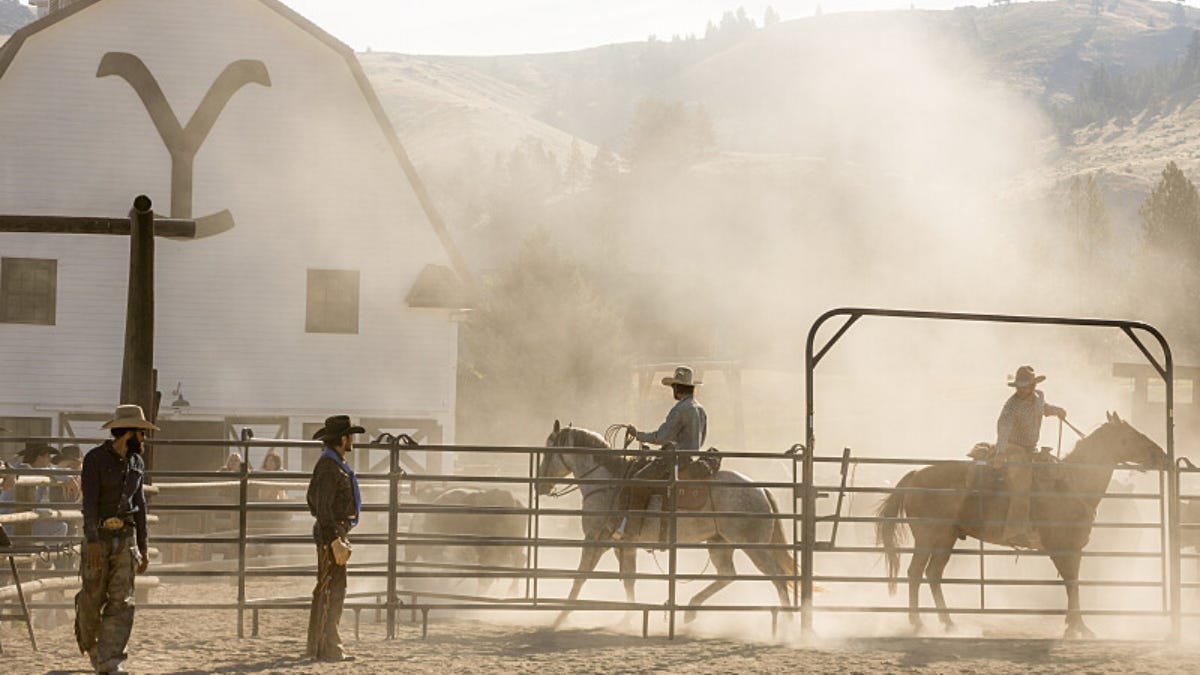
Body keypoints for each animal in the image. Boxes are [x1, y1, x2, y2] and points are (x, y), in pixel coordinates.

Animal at [540, 420, 792, 624]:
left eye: (547, 450)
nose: (541, 485)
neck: (608, 483)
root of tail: (761, 489)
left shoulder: (595, 539)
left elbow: (580, 578)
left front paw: (559, 618)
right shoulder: (623, 544)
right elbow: (628, 580)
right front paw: (628, 618)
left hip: (754, 546)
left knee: (779, 577)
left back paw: (789, 627)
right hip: (719, 543)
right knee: (727, 574)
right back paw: (690, 610)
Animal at [878, 410, 1166, 634]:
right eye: (1132, 436)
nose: (1161, 454)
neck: (1072, 483)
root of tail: (916, 474)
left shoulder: (1075, 548)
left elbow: (1073, 582)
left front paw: (1074, 624)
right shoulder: (1061, 547)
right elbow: (1071, 582)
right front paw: (1080, 627)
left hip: (946, 538)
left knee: (933, 574)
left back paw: (949, 624)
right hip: (927, 536)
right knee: (915, 573)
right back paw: (917, 623)